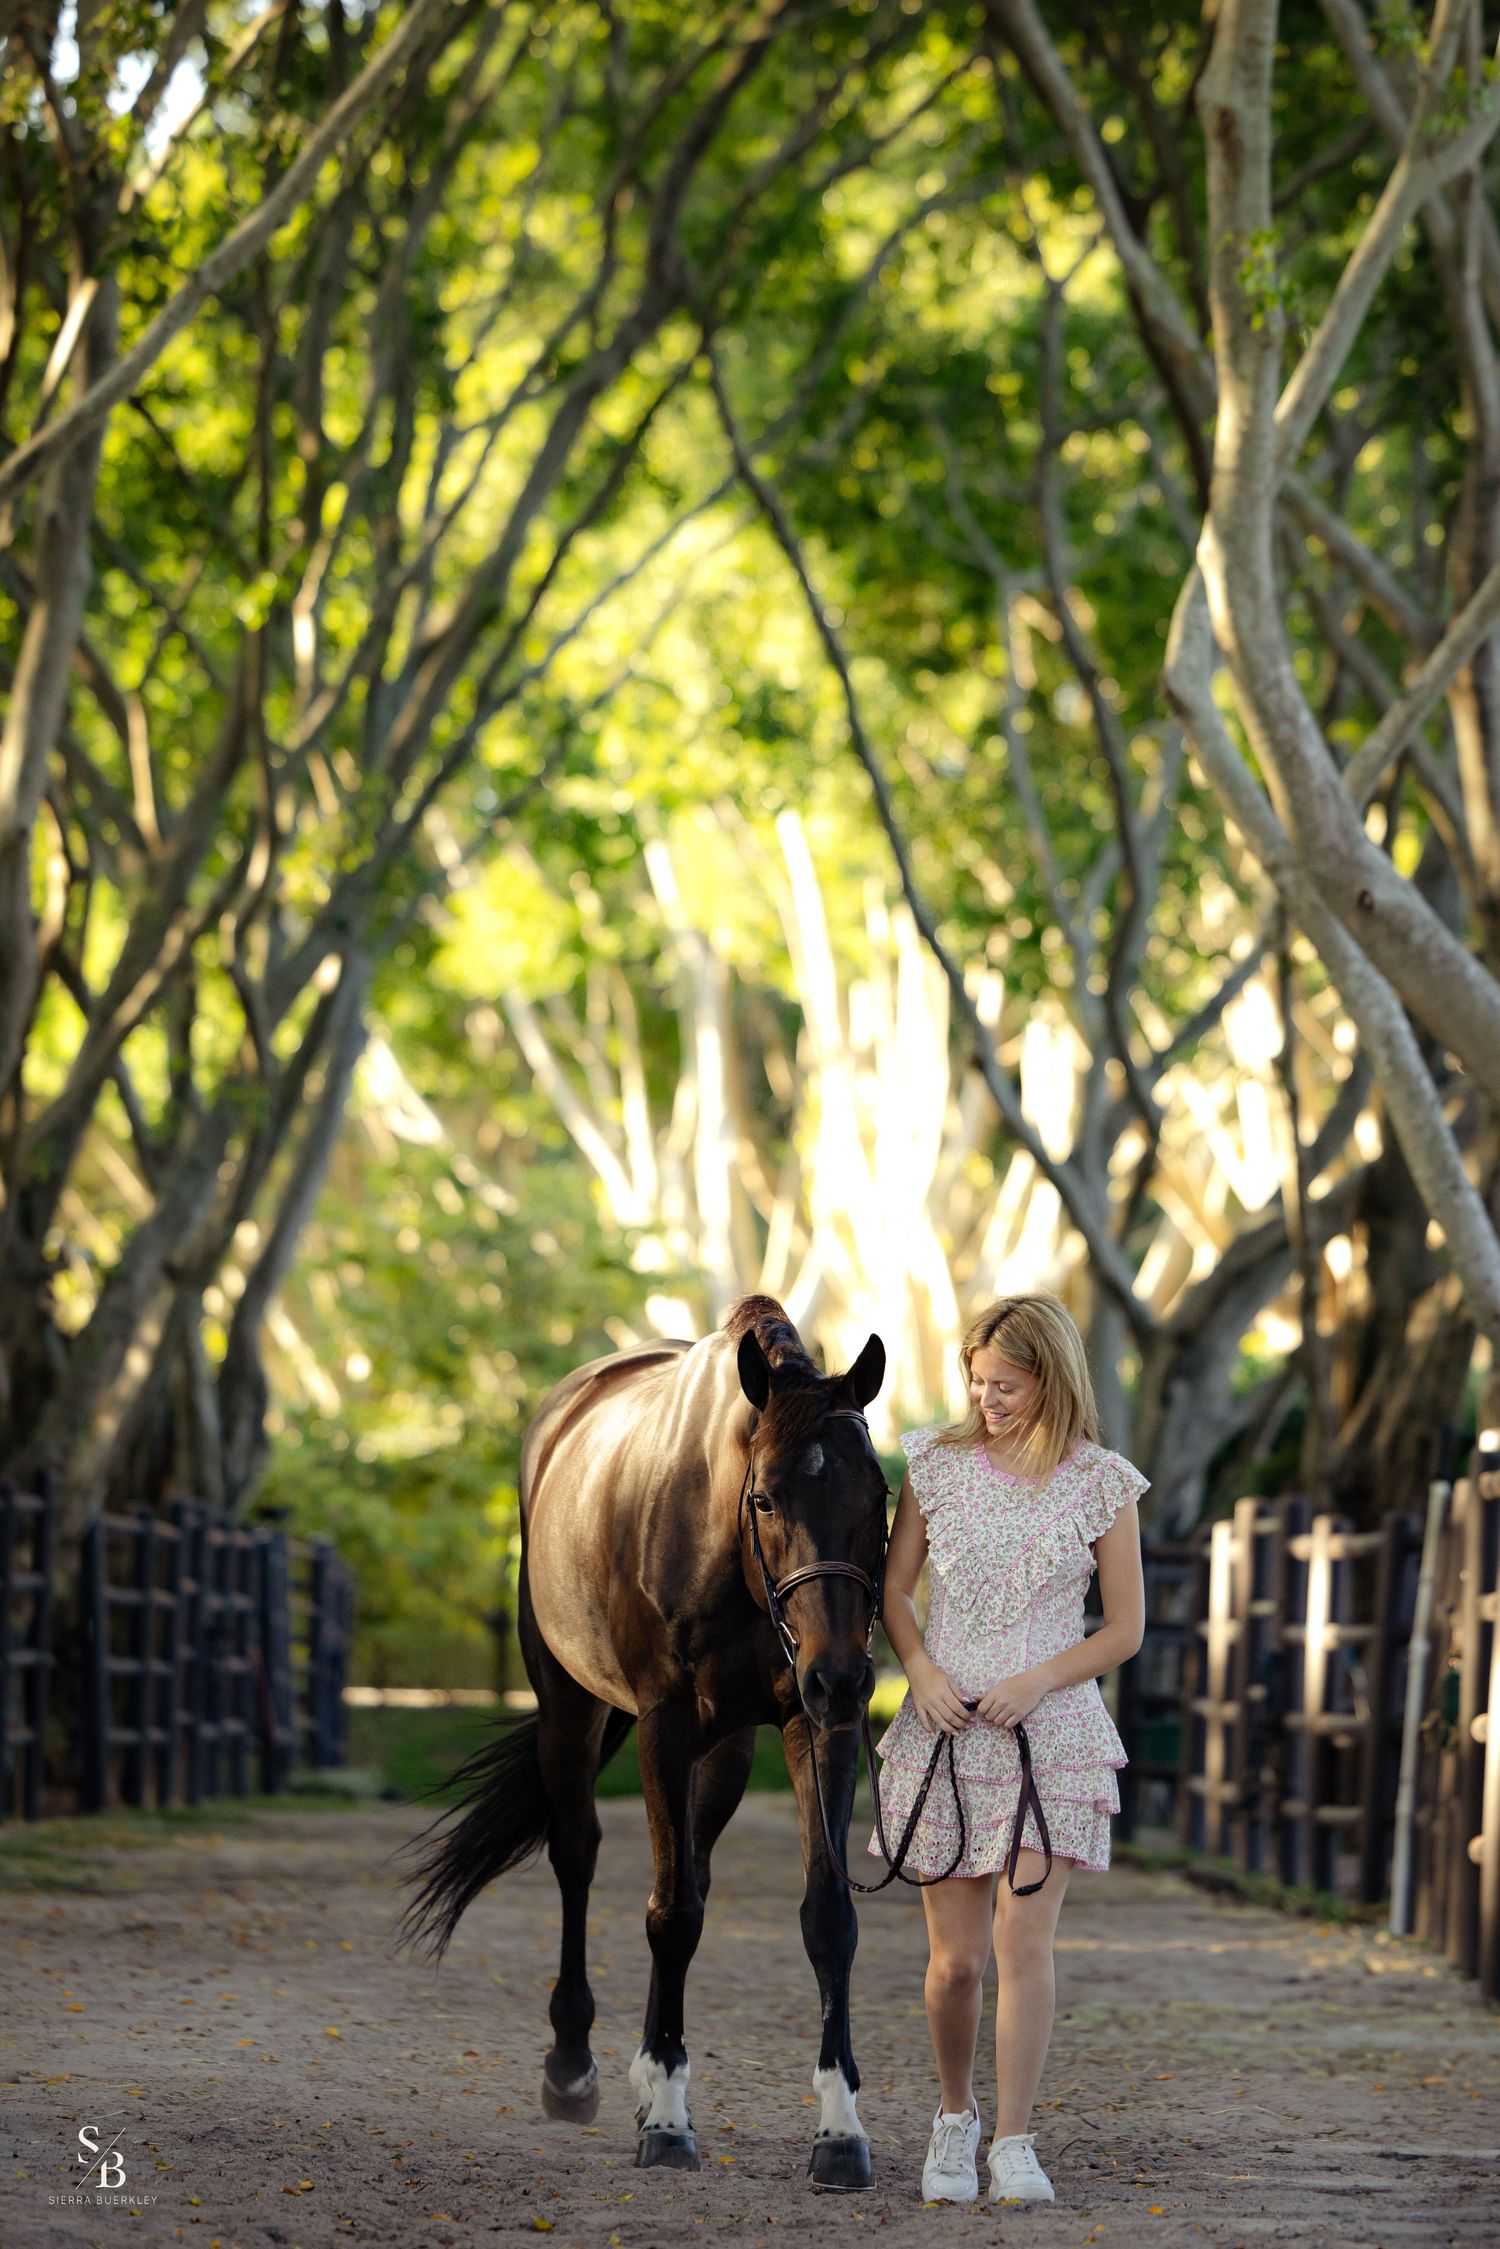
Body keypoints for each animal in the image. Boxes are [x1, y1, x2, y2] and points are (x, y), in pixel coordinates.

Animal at [399, 1293, 890, 2188]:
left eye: (876, 1493)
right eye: (766, 1499)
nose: (843, 1673)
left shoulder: (814, 1725)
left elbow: (827, 1913)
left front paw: (839, 2127)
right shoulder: (664, 1721)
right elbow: (670, 1913)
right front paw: (665, 2112)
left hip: (726, 1750)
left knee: (691, 1858)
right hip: (569, 1707)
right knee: (579, 1854)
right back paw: (573, 2065)